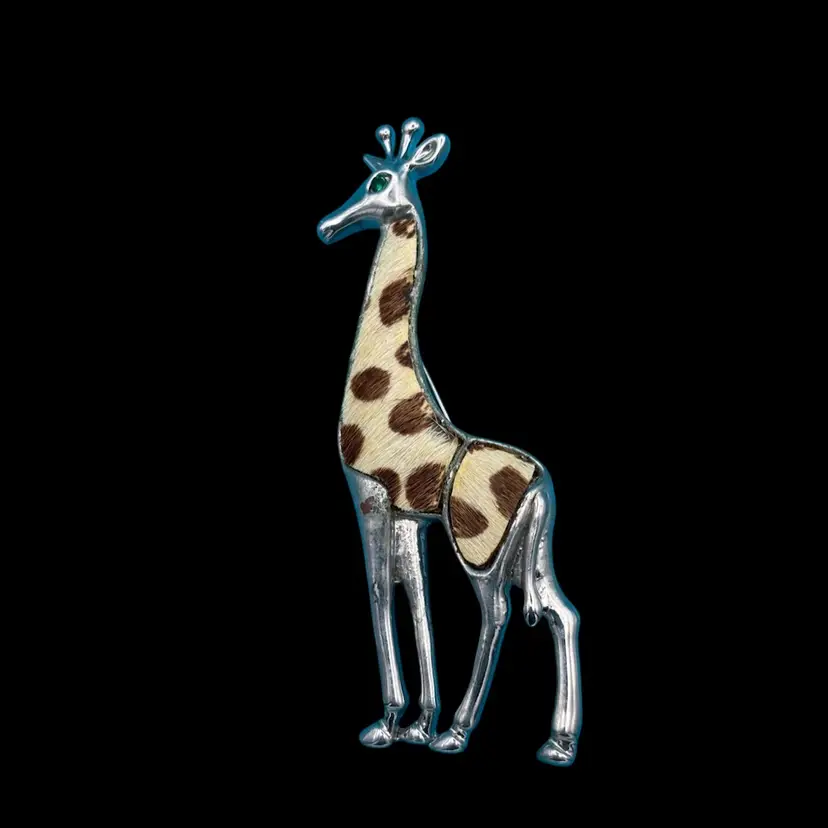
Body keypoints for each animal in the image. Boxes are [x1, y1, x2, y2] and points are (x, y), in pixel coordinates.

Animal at [317, 118, 582, 766]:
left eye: (377, 182)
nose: (328, 226)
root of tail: (539, 484)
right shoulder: (409, 516)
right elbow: (416, 600)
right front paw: (414, 722)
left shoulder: (368, 495)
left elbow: (380, 594)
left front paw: (393, 723)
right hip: (531, 549)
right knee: (562, 612)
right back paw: (558, 743)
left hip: (480, 549)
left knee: (498, 612)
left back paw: (460, 733)